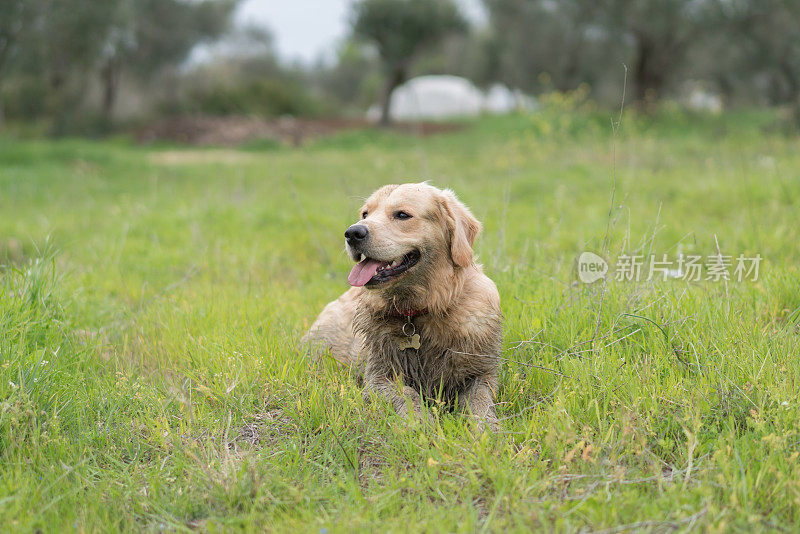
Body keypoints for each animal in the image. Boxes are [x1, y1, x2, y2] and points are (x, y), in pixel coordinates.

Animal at [304, 183, 504, 432]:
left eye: (402, 215)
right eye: (365, 214)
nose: (352, 233)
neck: (424, 307)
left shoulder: (482, 372)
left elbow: (480, 399)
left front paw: (486, 428)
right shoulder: (379, 377)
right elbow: (407, 394)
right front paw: (421, 422)